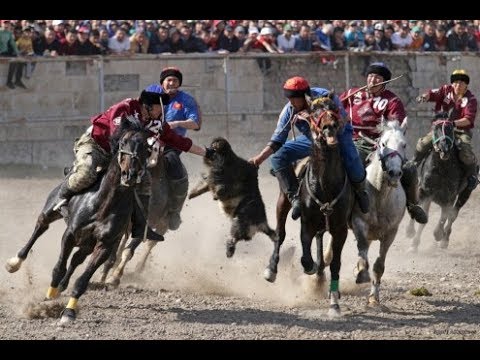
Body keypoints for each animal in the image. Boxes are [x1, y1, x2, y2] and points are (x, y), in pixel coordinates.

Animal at [5, 116, 148, 324]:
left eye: (147, 146)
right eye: (123, 142)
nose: (130, 174)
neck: (104, 204)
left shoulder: (104, 245)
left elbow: (82, 280)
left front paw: (68, 312)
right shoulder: (70, 234)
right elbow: (58, 267)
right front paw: (49, 297)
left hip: (87, 244)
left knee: (76, 260)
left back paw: (63, 287)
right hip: (51, 210)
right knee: (40, 228)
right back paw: (15, 262)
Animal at [262, 94, 352, 316]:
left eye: (334, 107)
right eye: (314, 112)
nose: (330, 126)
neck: (326, 185)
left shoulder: (340, 228)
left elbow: (335, 263)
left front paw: (334, 303)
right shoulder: (307, 222)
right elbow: (304, 255)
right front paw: (309, 267)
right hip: (282, 201)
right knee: (280, 234)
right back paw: (272, 269)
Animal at [350, 119, 406, 310]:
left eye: (404, 144)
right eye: (383, 144)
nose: (394, 173)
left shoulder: (391, 233)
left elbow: (379, 266)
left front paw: (374, 298)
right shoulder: (359, 223)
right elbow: (362, 252)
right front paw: (361, 273)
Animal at [404, 114, 468, 252]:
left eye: (450, 128)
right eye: (435, 128)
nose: (444, 148)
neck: (442, 169)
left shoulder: (449, 198)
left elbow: (444, 217)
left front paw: (438, 234)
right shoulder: (426, 193)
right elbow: (422, 214)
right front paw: (413, 242)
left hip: (464, 194)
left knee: (452, 216)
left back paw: (444, 240)